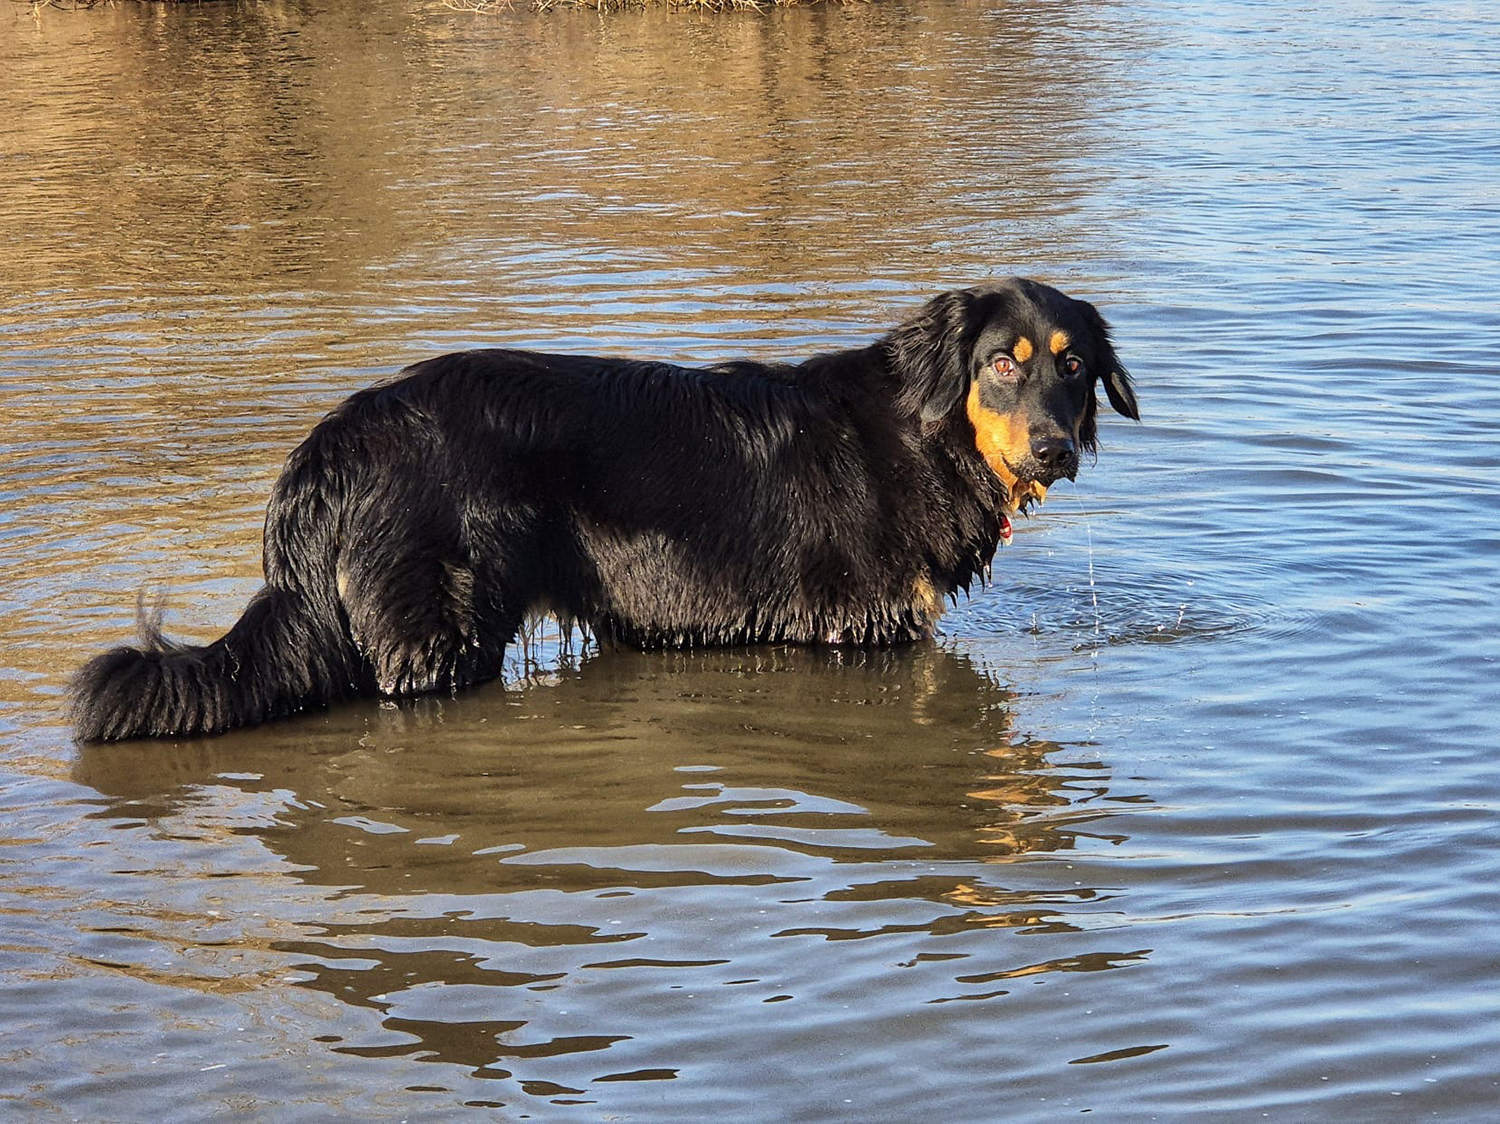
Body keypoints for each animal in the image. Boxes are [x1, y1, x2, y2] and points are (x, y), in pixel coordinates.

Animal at [71, 278, 1138, 741]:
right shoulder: (861, 629)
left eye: (1075, 365)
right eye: (1003, 363)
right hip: (440, 635)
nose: (1056, 447)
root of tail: (339, 437)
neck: (923, 434)